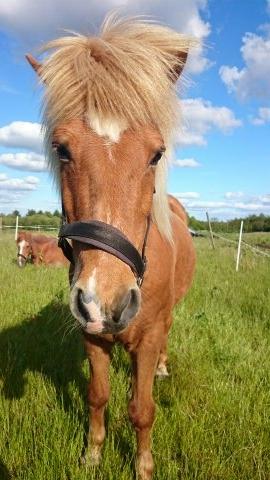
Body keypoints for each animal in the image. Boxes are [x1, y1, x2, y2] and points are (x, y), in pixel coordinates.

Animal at [26, 15, 196, 480]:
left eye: (157, 154)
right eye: (62, 149)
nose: (107, 301)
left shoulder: (149, 335)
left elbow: (142, 409)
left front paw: (143, 466)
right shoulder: (92, 336)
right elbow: (97, 395)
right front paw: (93, 454)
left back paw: (162, 368)